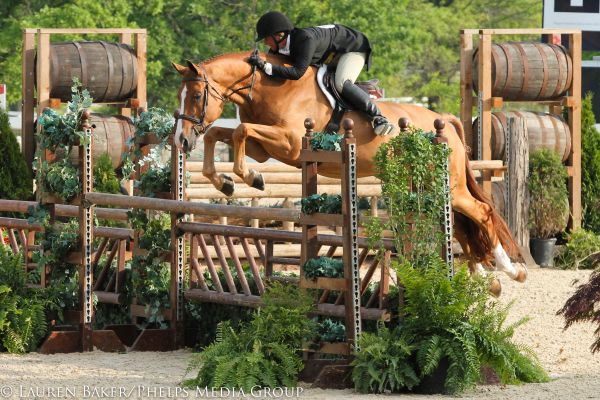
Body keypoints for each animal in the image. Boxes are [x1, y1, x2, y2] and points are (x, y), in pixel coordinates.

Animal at [171, 51, 528, 292]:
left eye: (198, 95)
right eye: (181, 95)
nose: (181, 140)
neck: (273, 86)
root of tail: (445, 121)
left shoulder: (290, 143)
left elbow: (240, 131)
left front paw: (250, 179)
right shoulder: (265, 149)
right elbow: (222, 134)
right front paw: (225, 182)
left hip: (447, 185)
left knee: (481, 212)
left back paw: (510, 270)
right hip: (427, 185)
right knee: (457, 222)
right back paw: (485, 279)